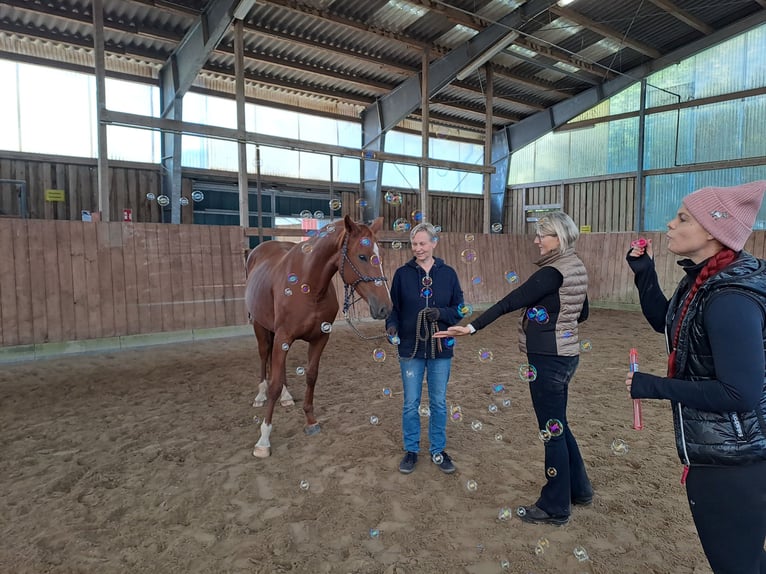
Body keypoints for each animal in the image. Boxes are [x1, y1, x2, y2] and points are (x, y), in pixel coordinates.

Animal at [244, 216, 392, 460]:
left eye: (379, 256)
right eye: (362, 256)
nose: (385, 308)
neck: (307, 286)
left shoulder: (320, 338)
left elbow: (311, 376)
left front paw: (311, 421)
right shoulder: (283, 337)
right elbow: (274, 383)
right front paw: (263, 439)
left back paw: (286, 396)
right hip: (261, 326)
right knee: (264, 356)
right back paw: (260, 395)